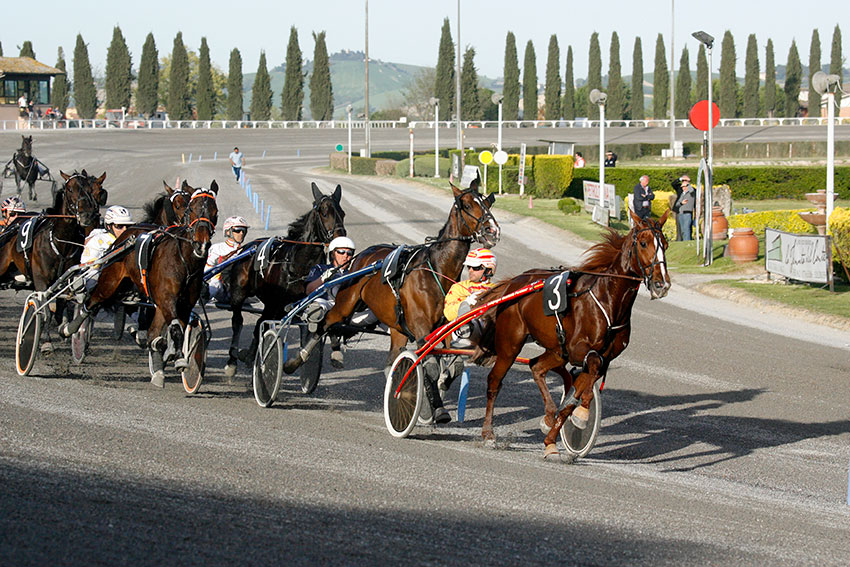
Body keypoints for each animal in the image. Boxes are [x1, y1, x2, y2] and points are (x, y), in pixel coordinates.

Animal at [62, 181, 219, 386]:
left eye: (215, 211)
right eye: (190, 208)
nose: (201, 244)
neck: (183, 260)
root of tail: (125, 238)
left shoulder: (183, 304)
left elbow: (173, 330)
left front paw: (168, 354)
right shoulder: (166, 298)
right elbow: (174, 330)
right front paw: (177, 358)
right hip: (109, 283)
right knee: (90, 303)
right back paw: (70, 329)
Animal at [284, 183, 496, 412]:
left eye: (487, 202)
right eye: (467, 205)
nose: (493, 230)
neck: (436, 270)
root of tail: (363, 255)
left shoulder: (442, 327)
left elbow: (453, 365)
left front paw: (439, 387)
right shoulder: (420, 327)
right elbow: (430, 366)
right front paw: (437, 409)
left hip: (396, 328)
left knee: (388, 361)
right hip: (345, 303)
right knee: (324, 324)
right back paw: (293, 361)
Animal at [470, 211, 668, 460]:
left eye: (666, 245)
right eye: (643, 243)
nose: (662, 284)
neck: (607, 300)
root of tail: (513, 284)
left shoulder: (603, 358)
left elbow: (577, 393)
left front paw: (554, 439)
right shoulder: (579, 350)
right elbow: (587, 374)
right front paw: (582, 415)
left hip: (556, 350)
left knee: (536, 366)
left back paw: (548, 416)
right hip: (510, 344)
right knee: (494, 382)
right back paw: (488, 434)